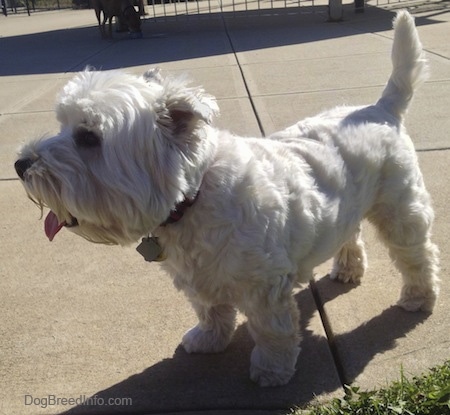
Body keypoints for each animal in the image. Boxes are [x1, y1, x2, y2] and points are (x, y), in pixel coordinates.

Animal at [15, 11, 438, 388]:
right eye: (62, 125)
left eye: (88, 137)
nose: (20, 164)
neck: (193, 195)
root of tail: (381, 108)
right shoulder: (196, 277)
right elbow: (210, 310)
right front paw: (209, 339)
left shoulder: (264, 285)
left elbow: (271, 330)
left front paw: (272, 369)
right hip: (347, 208)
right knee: (350, 233)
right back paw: (348, 268)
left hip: (401, 209)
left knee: (417, 254)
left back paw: (418, 297)